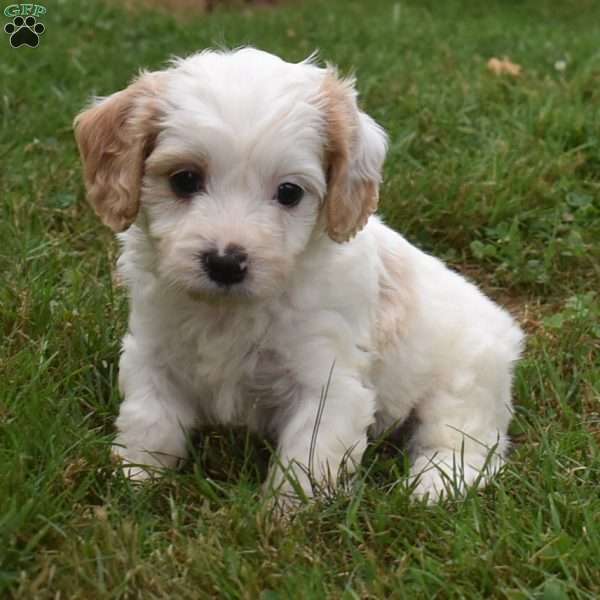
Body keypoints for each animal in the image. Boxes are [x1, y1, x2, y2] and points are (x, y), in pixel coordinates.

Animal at [75, 48, 524, 506]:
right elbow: (149, 423)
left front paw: (283, 516)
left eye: (289, 192)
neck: (229, 311)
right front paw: (133, 484)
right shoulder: (153, 354)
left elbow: (305, 461)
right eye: (184, 180)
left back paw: (432, 485)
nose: (225, 263)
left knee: (466, 445)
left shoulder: (328, 383)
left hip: (466, 384)